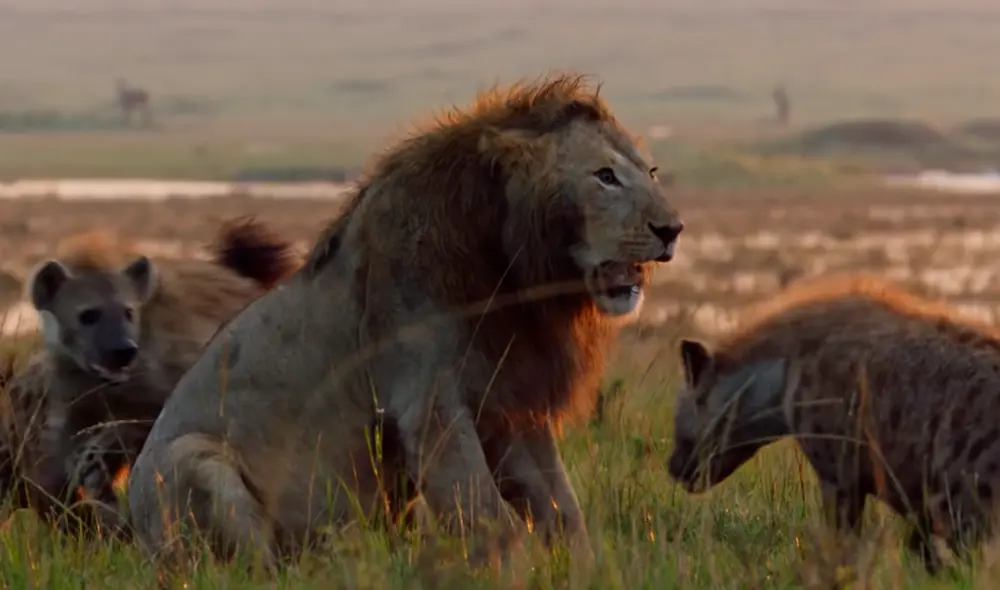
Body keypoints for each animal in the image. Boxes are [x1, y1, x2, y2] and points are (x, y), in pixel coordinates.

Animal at [126, 73, 684, 570]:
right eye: (605, 177)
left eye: (653, 171)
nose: (673, 229)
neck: (511, 274)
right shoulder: (429, 401)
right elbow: (486, 514)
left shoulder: (510, 404)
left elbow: (562, 510)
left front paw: (589, 569)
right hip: (190, 459)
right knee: (252, 566)